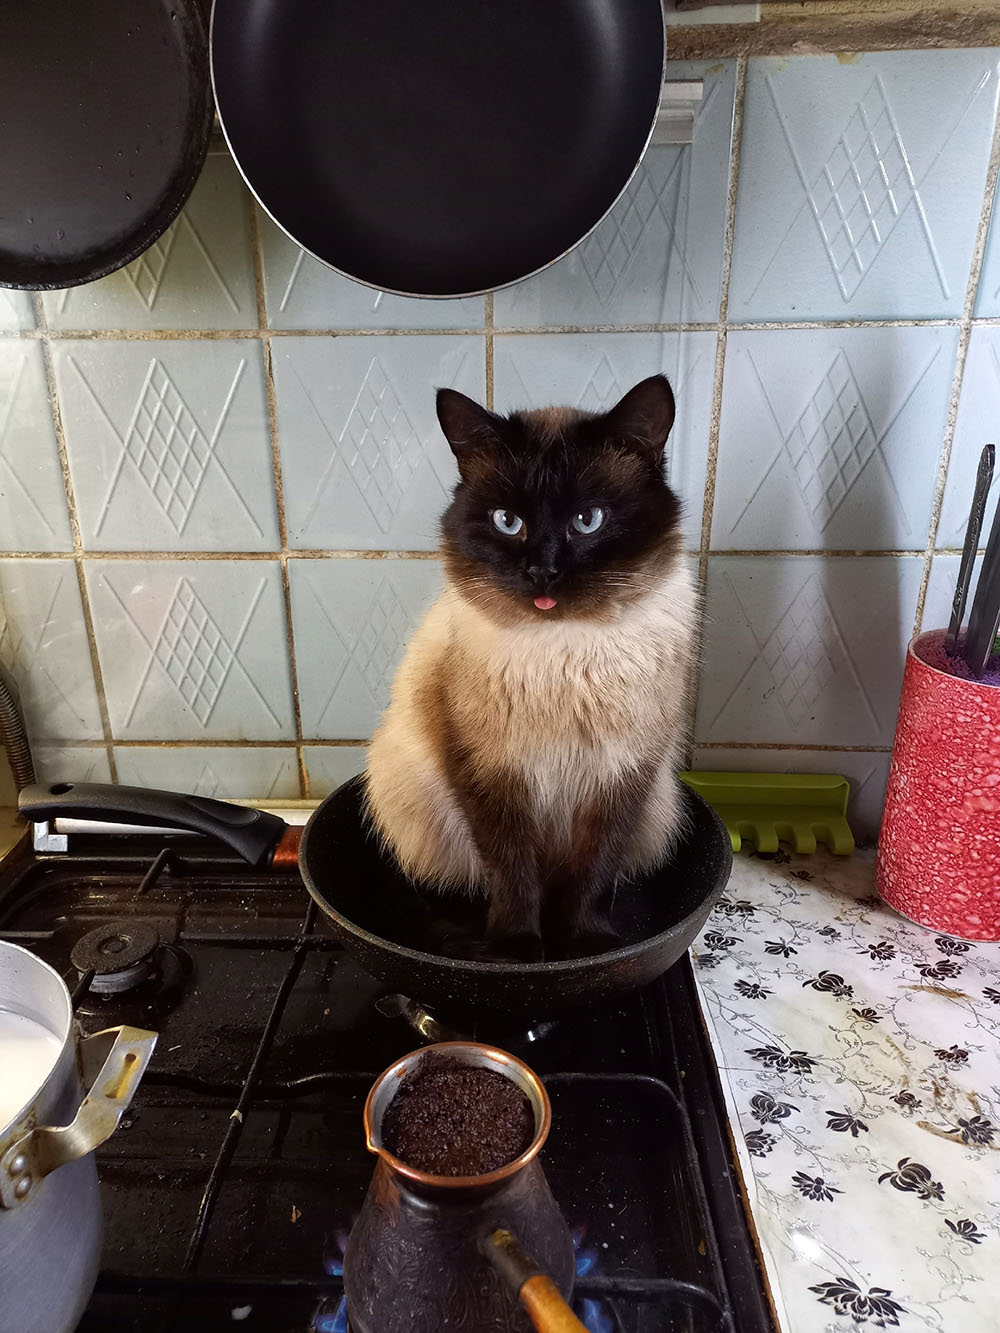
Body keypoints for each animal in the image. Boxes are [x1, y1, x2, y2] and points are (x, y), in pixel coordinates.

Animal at [365, 373, 698, 959]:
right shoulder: (490, 775)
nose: (542, 572)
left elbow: (592, 874)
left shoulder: (621, 777)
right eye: (508, 522)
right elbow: (512, 871)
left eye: (587, 521)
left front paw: (584, 945)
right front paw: (518, 950)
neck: (563, 647)